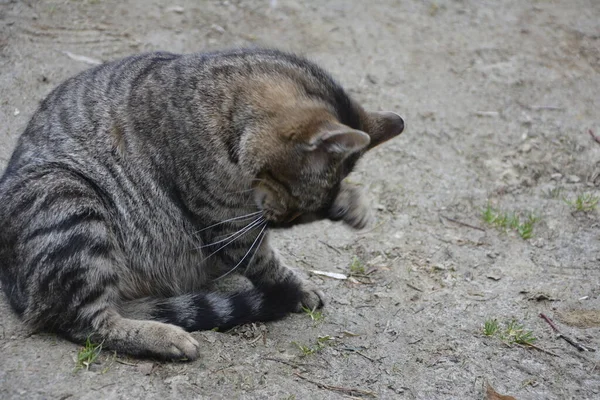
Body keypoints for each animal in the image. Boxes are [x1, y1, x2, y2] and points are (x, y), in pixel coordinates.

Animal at [0, 47, 406, 360]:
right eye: (289, 210)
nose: (276, 220)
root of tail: (14, 287)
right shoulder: (229, 226)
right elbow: (265, 261)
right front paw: (297, 286)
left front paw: (350, 202)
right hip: (68, 198)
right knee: (85, 322)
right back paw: (164, 336)